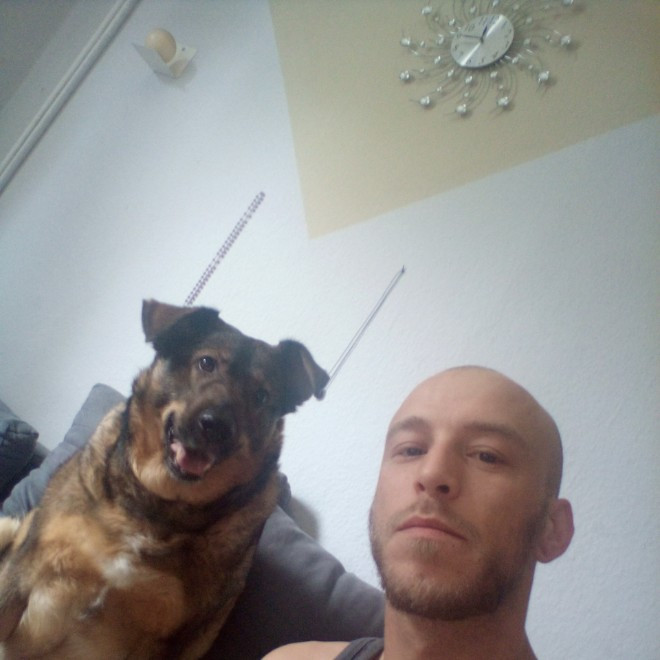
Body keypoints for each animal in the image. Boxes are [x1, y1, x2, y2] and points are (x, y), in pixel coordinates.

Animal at [0, 299, 328, 659]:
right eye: (206, 363)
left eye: (261, 396)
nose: (216, 426)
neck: (158, 504)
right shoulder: (23, 574)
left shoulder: (166, 640)